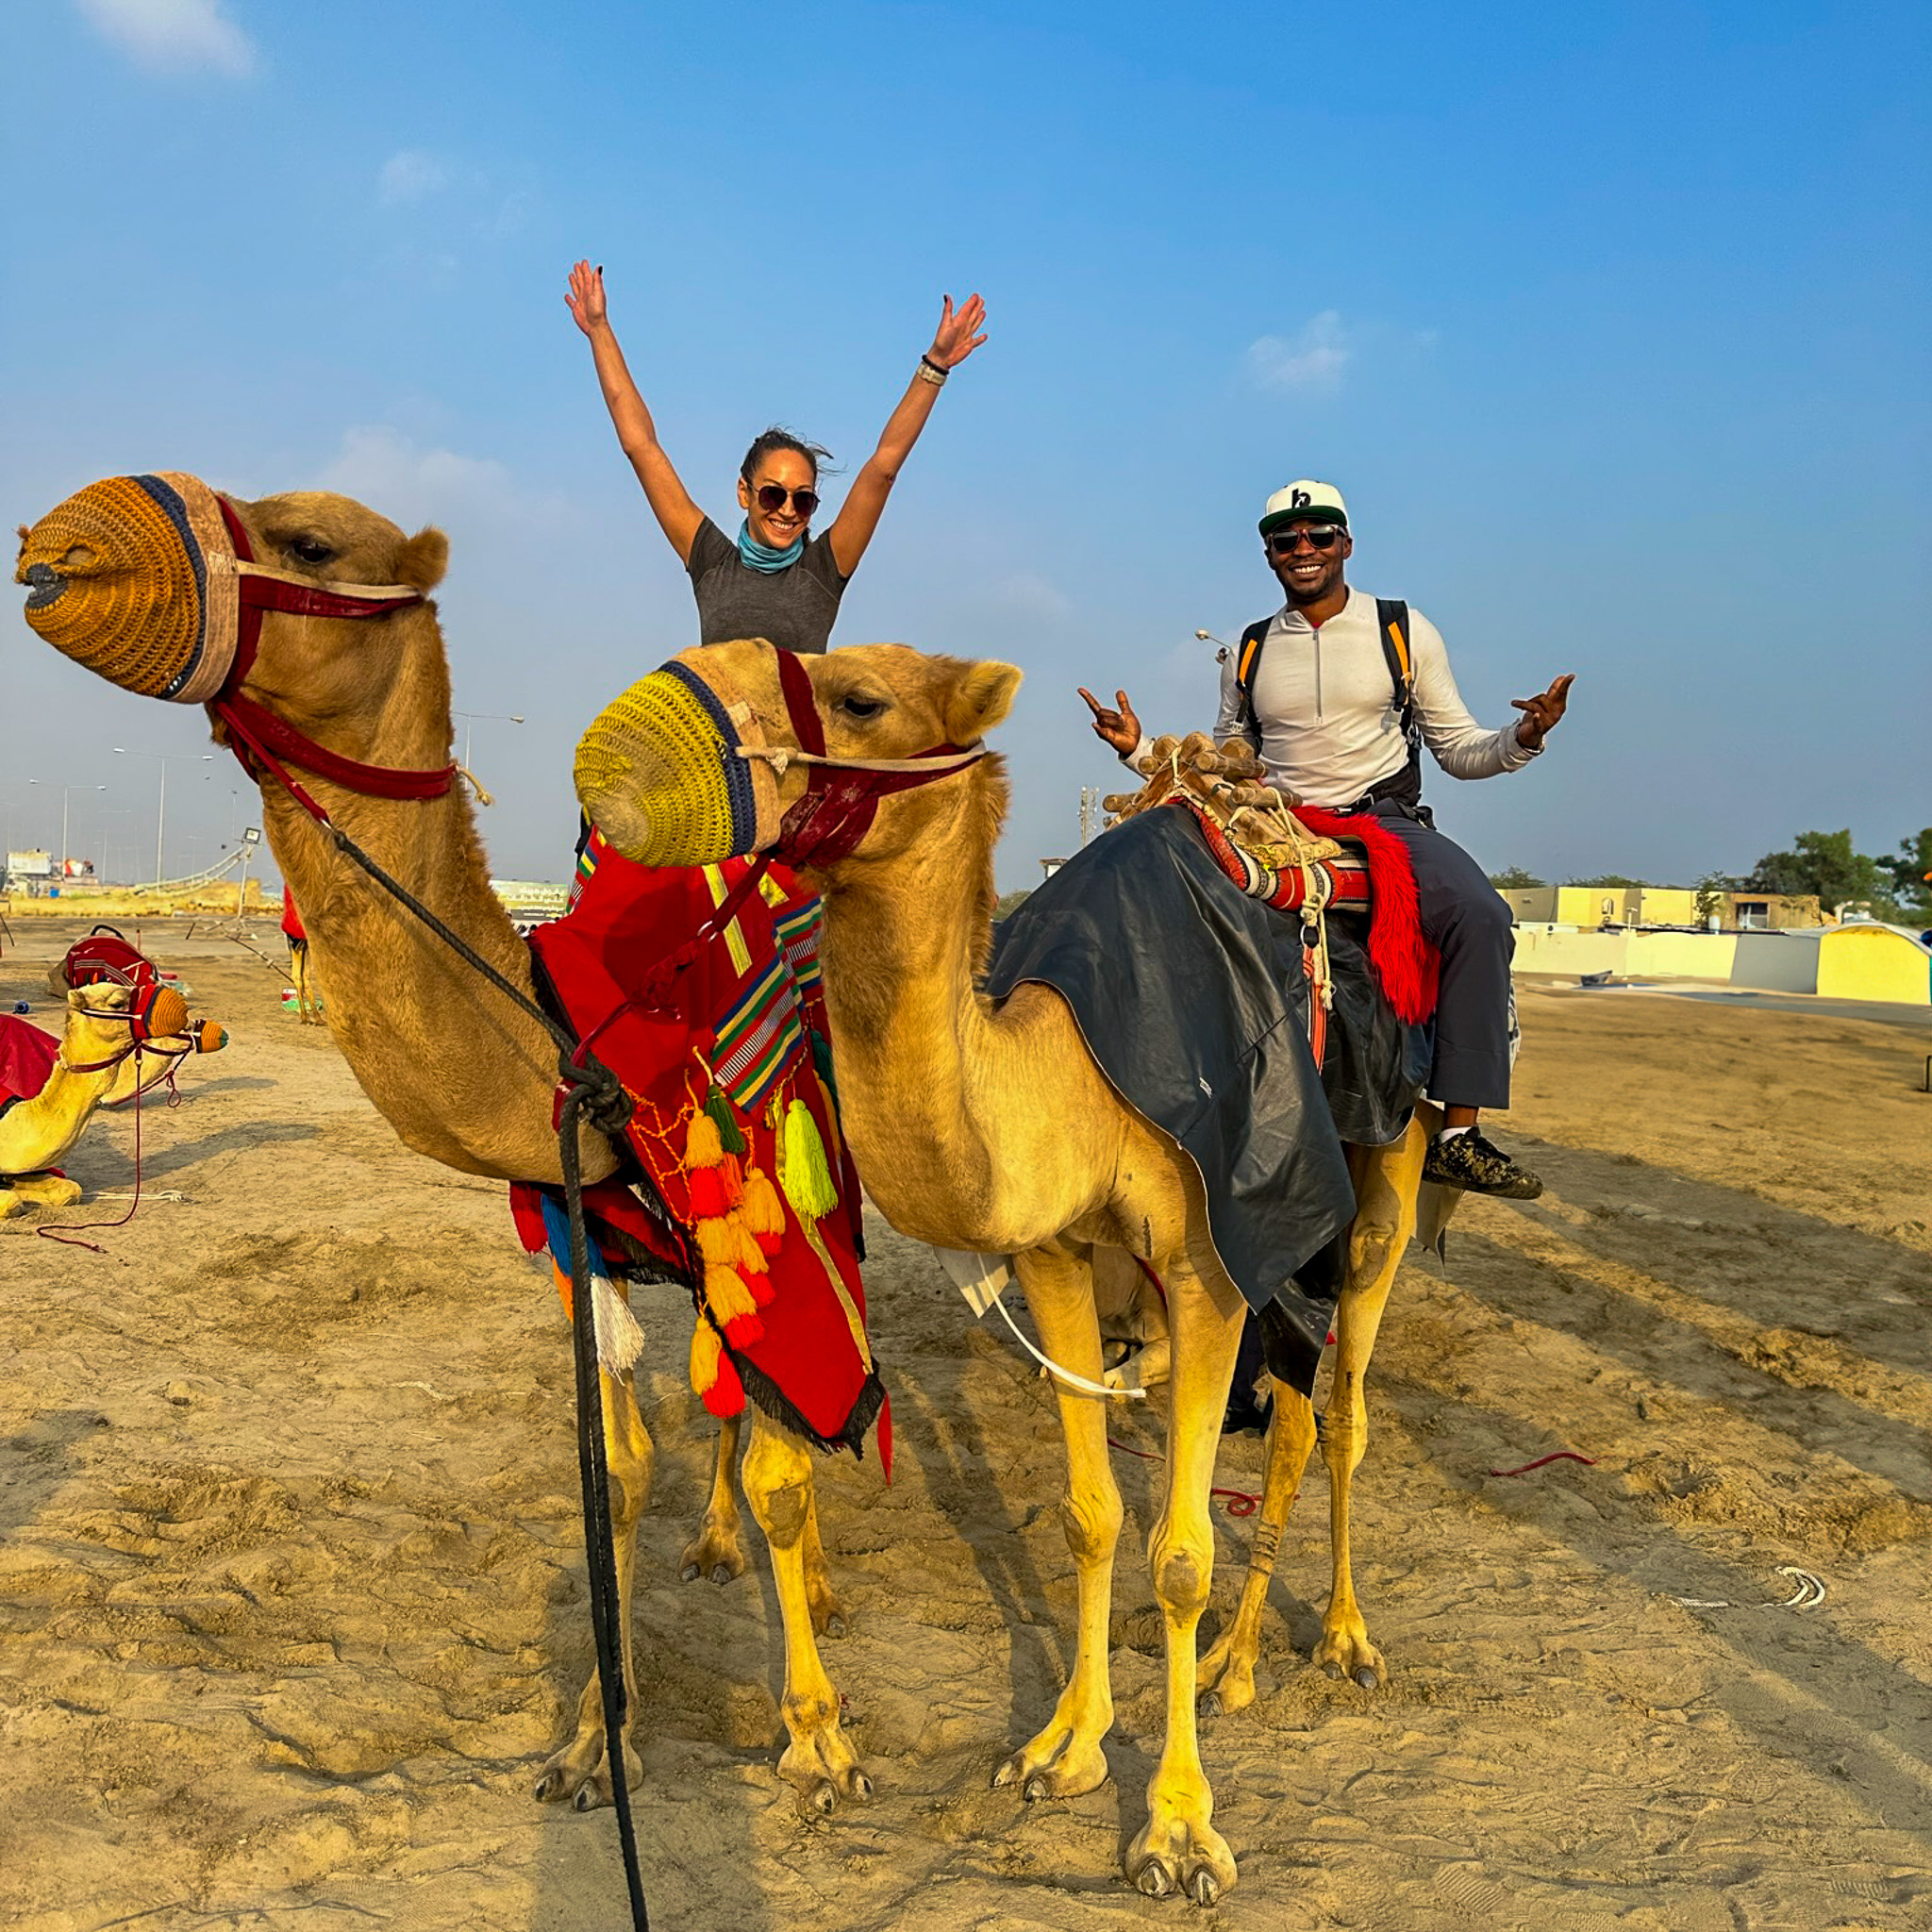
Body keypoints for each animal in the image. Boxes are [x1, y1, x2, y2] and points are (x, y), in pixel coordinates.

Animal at [15, 475, 858, 1816]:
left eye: (310, 543)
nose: (62, 542)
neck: (566, 1023)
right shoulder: (581, 1238)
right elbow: (616, 1470)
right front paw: (591, 1740)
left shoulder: (762, 1202)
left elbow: (788, 1445)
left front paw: (818, 1742)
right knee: (723, 1400)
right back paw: (719, 1543)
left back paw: (808, 1579)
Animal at [575, 637, 1453, 1901]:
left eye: (857, 699)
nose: (625, 749)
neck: (1072, 1059)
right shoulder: (1055, 1249)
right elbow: (1091, 1514)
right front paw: (1064, 1746)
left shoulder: (1207, 1256)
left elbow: (1177, 1550)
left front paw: (1177, 1831)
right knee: (1291, 1409)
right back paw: (1235, 1665)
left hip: (1387, 1163)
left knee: (1340, 1410)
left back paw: (1333, 1640)